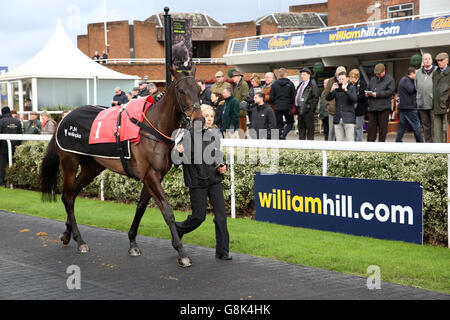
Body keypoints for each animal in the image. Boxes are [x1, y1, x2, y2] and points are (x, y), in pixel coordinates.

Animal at [40, 65, 202, 268]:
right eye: (181, 91)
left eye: (199, 90)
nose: (199, 119)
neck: (153, 127)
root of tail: (64, 117)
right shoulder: (150, 175)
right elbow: (167, 211)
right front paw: (181, 252)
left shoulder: (153, 176)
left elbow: (140, 208)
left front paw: (132, 242)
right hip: (69, 162)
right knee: (69, 198)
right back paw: (80, 240)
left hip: (92, 167)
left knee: (71, 194)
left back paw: (68, 234)